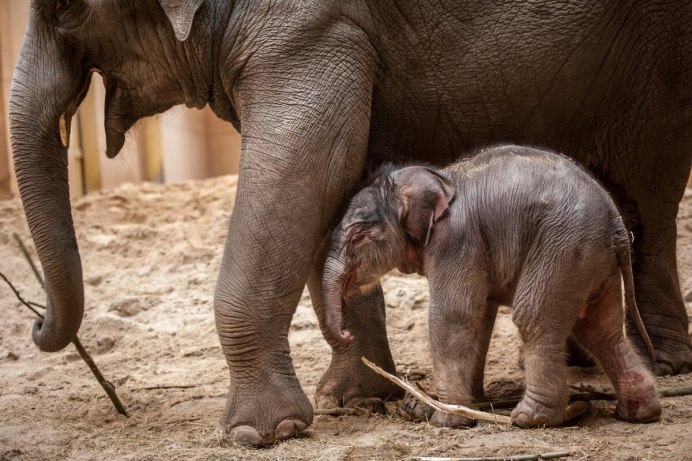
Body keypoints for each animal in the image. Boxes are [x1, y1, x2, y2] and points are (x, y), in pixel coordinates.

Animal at [322, 145, 664, 428]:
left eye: (358, 235)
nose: (347, 333)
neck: (437, 176)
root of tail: (617, 224)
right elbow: (480, 318)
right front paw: (462, 406)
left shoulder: (457, 239)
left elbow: (452, 316)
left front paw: (447, 419)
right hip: (594, 262)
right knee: (600, 330)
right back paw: (639, 413)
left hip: (565, 250)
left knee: (534, 317)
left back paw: (531, 419)